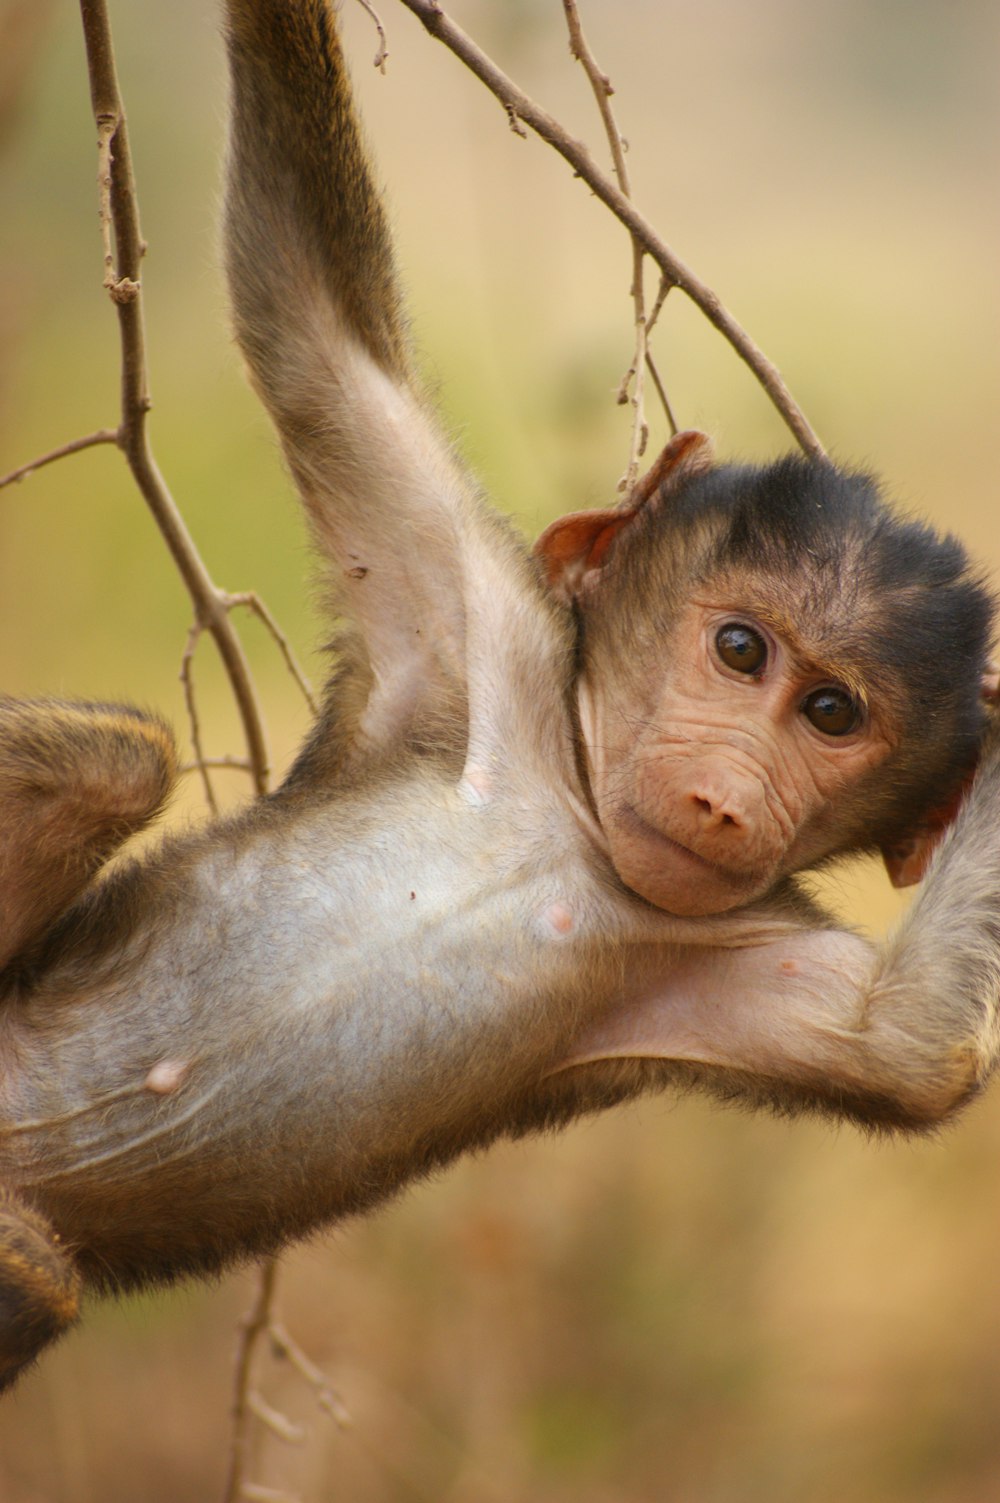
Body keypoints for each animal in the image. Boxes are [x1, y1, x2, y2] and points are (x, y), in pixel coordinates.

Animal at [1, 0, 998, 1388]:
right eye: (742, 653)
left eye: (832, 716)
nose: (725, 798)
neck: (572, 828)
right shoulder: (478, 627)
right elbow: (315, 325)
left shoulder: (743, 939)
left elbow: (909, 1048)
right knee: (123, 757)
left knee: (36, 1267)